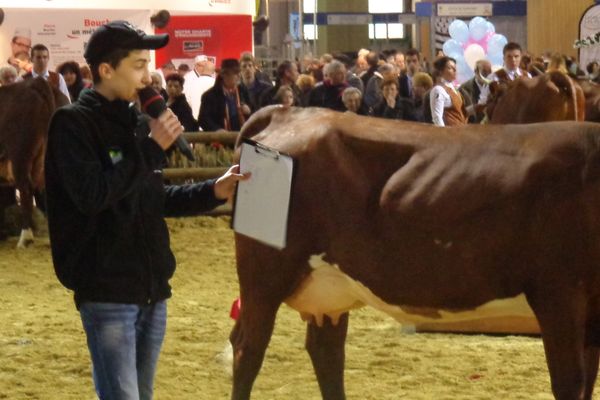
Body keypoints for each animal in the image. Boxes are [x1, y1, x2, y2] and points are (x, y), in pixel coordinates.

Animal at [231, 106, 600, 400]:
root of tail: (289, 112)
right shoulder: (559, 294)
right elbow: (570, 382)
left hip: (329, 284)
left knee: (326, 350)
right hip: (265, 274)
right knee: (247, 349)